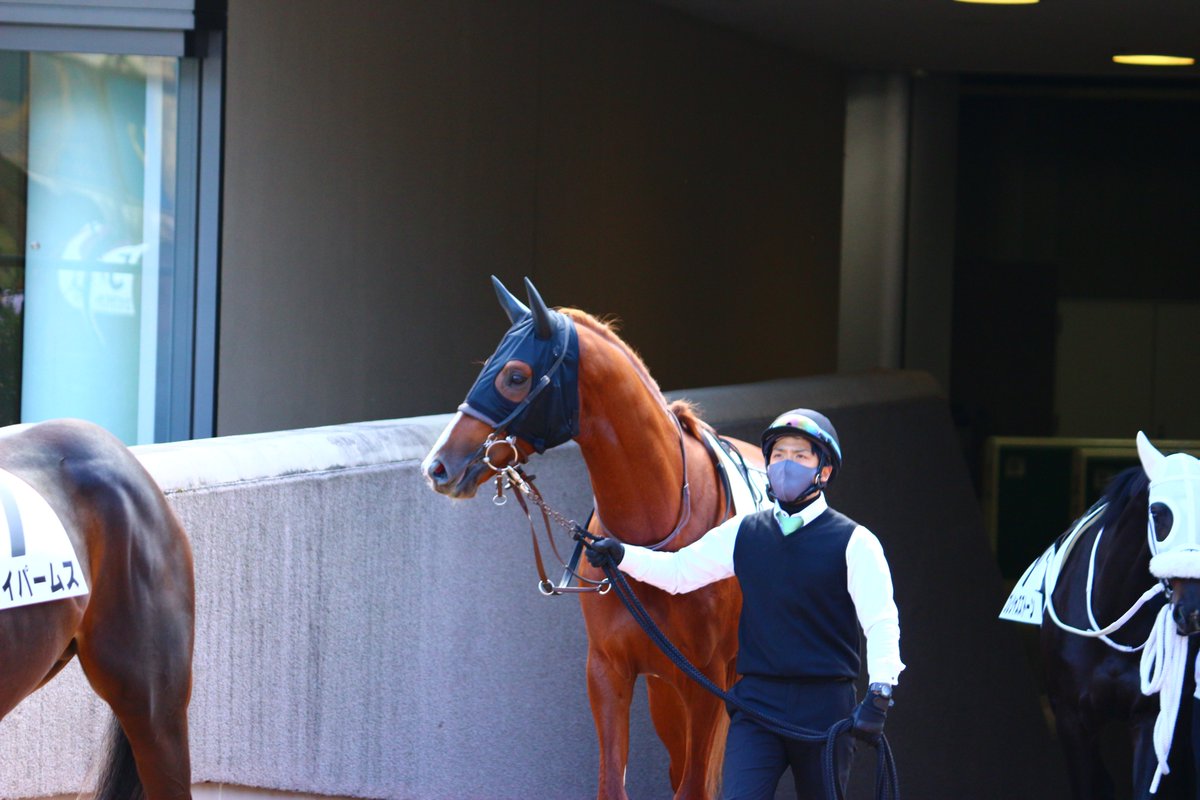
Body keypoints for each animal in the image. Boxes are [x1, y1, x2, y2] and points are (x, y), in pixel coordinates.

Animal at [422, 276, 757, 799]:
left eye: (515, 376)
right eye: (489, 366)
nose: (438, 465)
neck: (656, 545)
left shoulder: (706, 680)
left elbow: (694, 787)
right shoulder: (608, 670)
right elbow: (612, 783)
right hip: (666, 693)